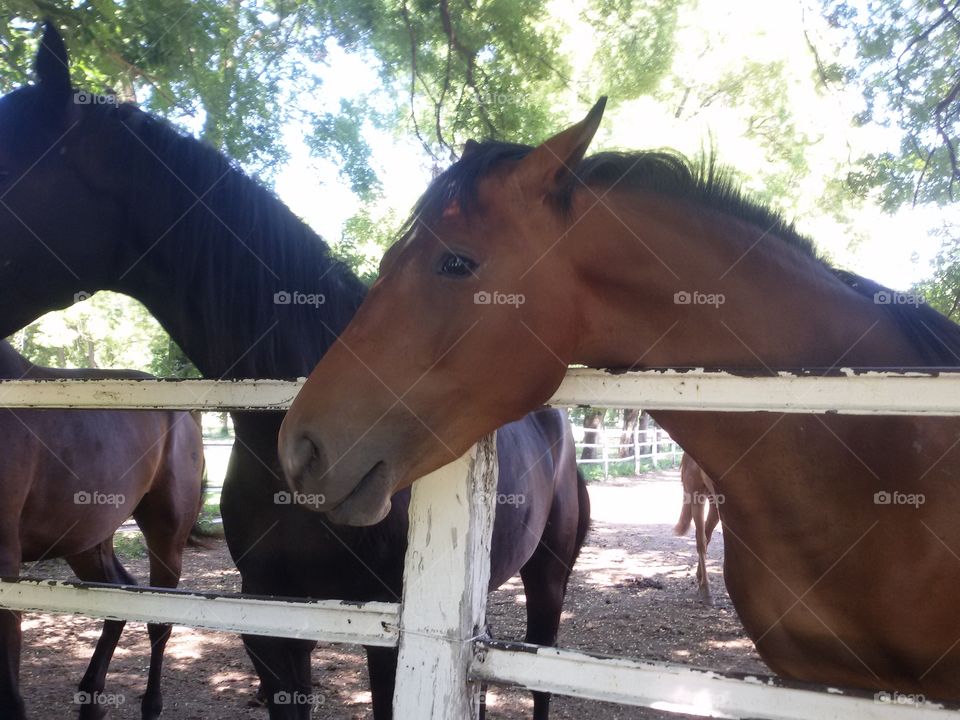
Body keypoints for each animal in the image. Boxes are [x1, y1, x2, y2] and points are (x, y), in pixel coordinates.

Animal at [0, 340, 204, 719]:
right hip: (86, 540)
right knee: (117, 594)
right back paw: (91, 699)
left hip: (166, 537)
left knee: (159, 623)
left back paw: (150, 705)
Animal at [673, 453, 720, 603]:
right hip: (697, 498)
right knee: (701, 540)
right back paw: (706, 589)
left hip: (715, 504)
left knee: (707, 536)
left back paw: (700, 579)